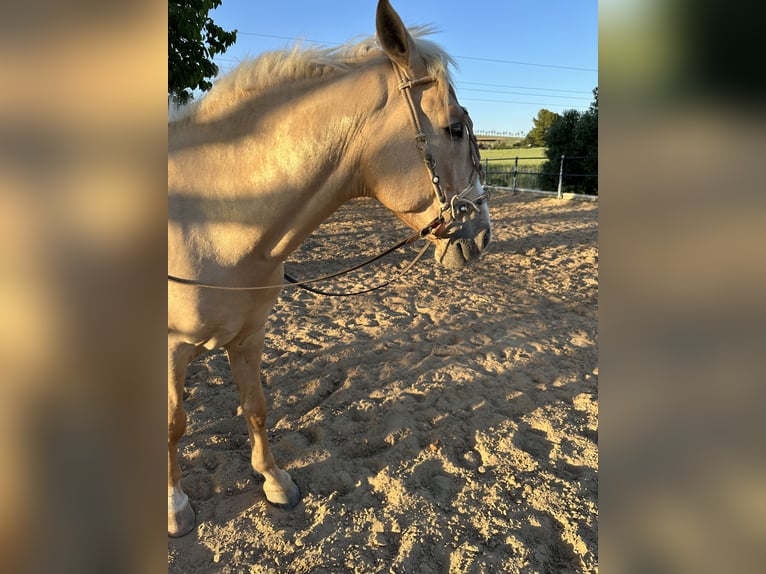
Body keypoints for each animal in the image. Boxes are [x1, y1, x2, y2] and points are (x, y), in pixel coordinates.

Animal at [168, 1, 492, 540]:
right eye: (452, 128)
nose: (483, 235)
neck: (212, 217)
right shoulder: (171, 350)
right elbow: (174, 423)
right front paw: (174, 505)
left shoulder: (248, 337)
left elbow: (256, 407)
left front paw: (274, 481)